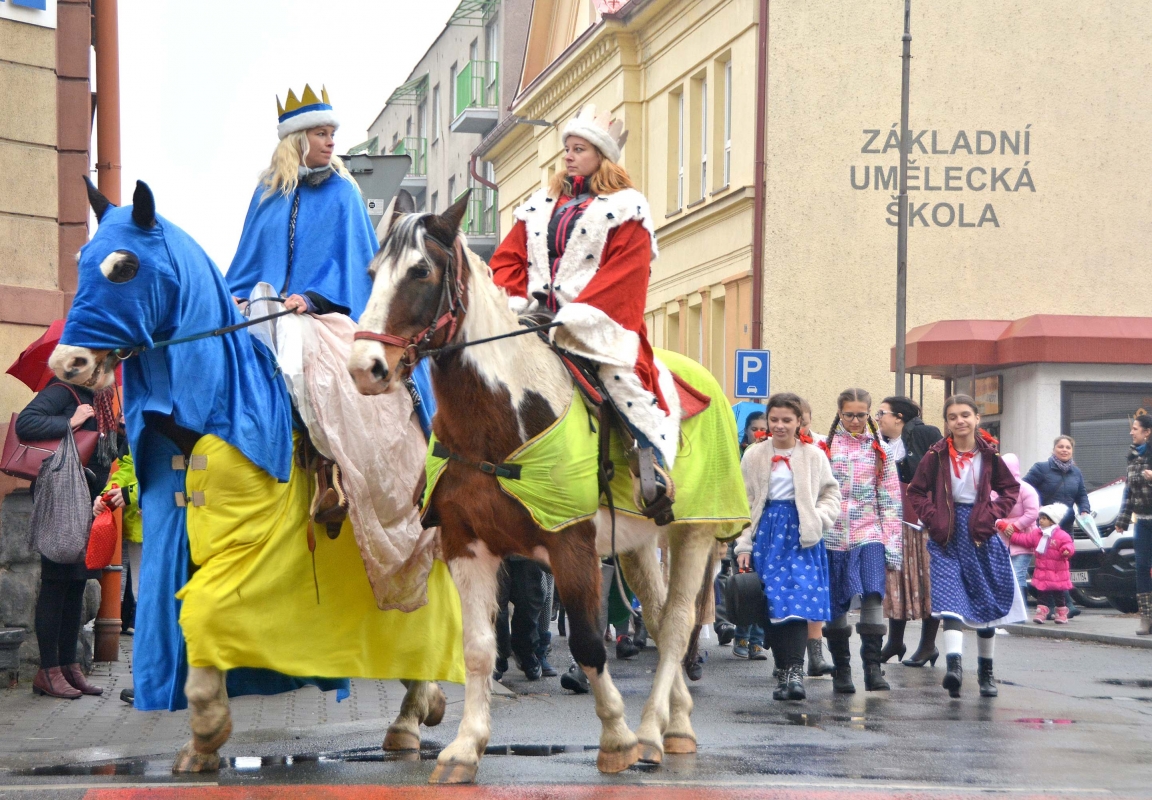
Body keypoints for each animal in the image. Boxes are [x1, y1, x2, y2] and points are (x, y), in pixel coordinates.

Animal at [345, 192, 714, 783]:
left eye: (421, 270)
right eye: (373, 273)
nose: (366, 367)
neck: (500, 424)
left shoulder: (572, 544)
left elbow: (587, 642)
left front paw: (616, 737)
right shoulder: (466, 544)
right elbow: (477, 648)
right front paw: (465, 746)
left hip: (694, 533)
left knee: (678, 626)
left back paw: (651, 731)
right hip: (636, 545)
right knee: (659, 622)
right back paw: (673, 726)